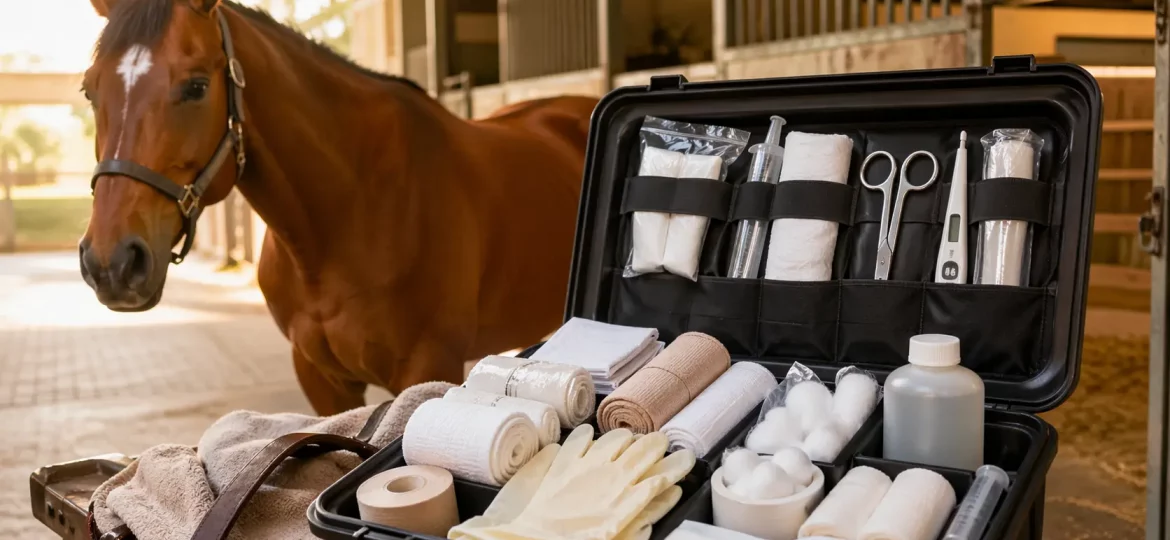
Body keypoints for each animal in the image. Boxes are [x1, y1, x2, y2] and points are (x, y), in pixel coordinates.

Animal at [79, 0, 599, 416]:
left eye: (196, 86)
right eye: (89, 89)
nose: (112, 264)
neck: (352, 208)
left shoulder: (428, 365)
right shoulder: (320, 377)